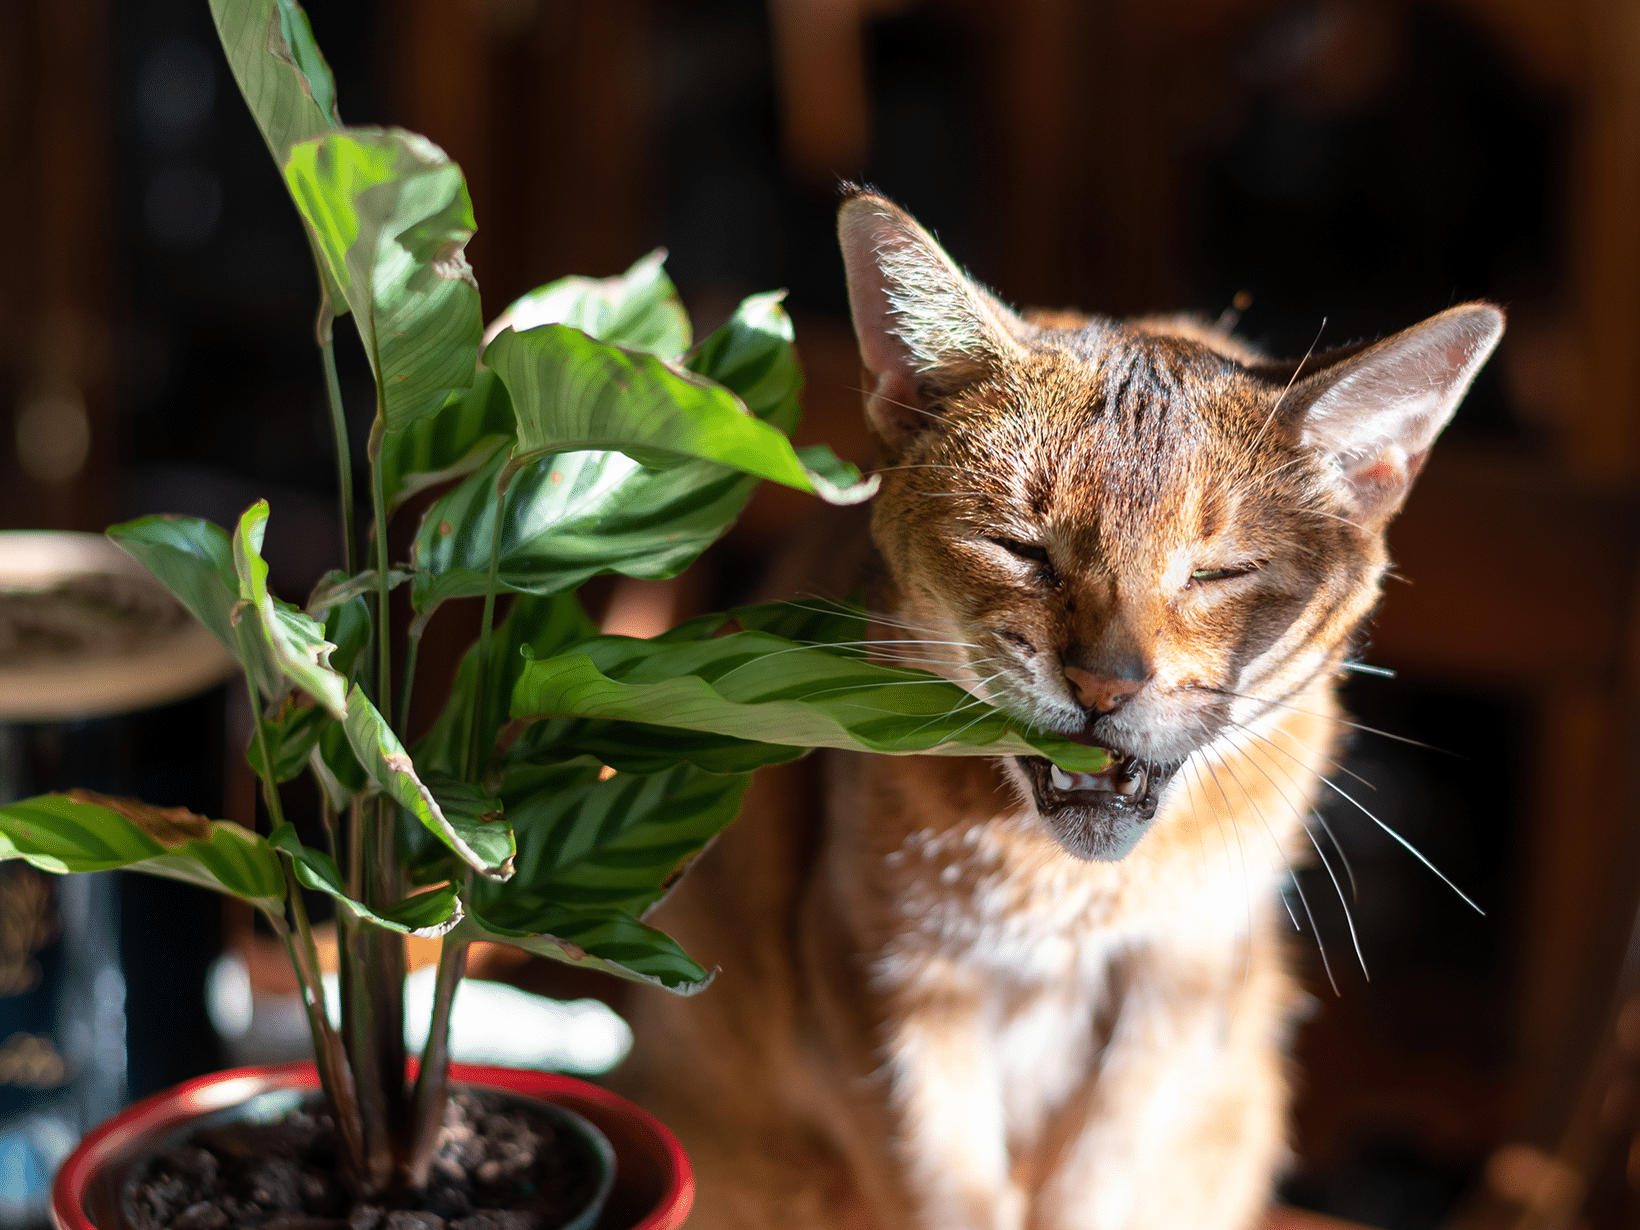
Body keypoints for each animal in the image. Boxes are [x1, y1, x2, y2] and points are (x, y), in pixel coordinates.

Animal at [613, 185, 1502, 1230]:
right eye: (1022, 549)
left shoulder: (1177, 989)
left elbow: (1100, 1179)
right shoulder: (886, 981)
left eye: (1219, 573)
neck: (1073, 895)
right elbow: (944, 1190)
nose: (1105, 684)